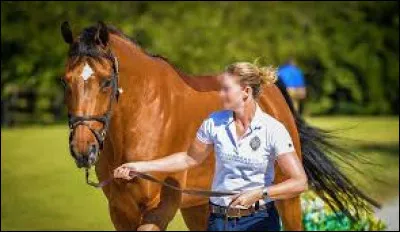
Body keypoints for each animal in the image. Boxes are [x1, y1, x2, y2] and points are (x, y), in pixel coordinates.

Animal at [61, 21, 380, 230]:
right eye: (66, 81)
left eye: (106, 81)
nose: (83, 149)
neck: (140, 116)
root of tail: (271, 92)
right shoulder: (120, 210)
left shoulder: (157, 208)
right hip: (199, 205)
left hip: (287, 197)